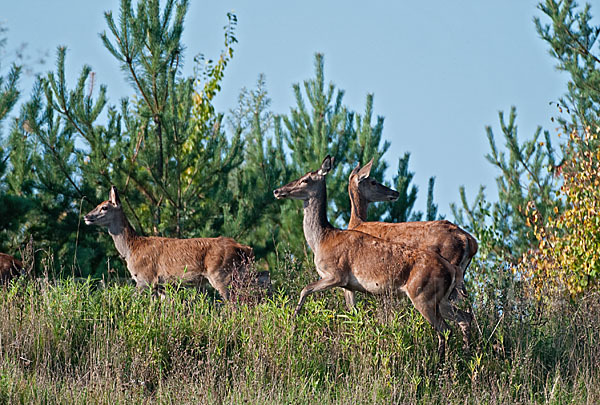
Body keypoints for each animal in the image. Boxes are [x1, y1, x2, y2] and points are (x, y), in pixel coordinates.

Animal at [82, 185, 258, 298]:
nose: (86, 216)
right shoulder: (161, 285)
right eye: (97, 205)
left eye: (104, 207)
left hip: (222, 274)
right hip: (240, 276)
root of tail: (246, 249)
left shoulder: (146, 278)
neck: (132, 248)